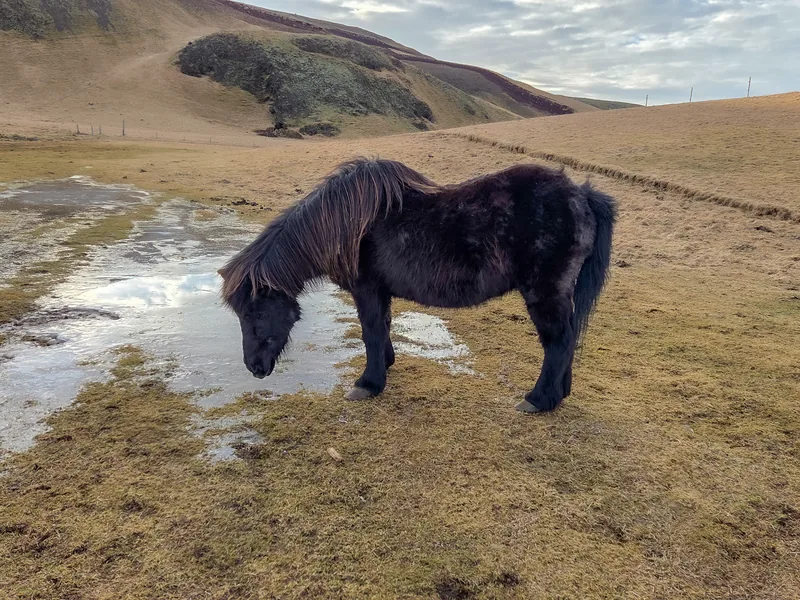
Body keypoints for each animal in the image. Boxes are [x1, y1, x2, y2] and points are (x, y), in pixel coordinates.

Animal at [218, 157, 616, 413]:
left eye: (255, 312)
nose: (254, 367)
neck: (344, 224)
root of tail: (581, 195)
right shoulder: (379, 291)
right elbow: (382, 327)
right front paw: (385, 365)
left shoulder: (366, 289)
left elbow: (370, 331)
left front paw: (368, 384)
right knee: (567, 340)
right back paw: (559, 394)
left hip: (544, 292)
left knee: (558, 341)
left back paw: (538, 400)